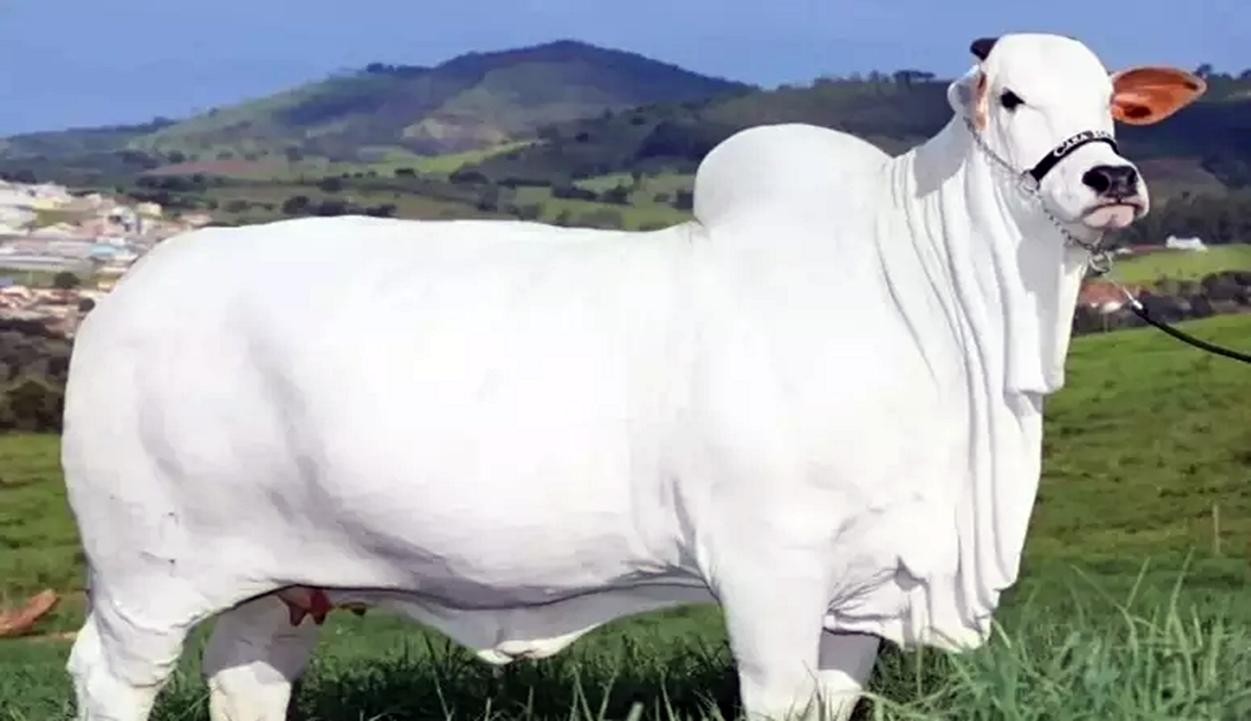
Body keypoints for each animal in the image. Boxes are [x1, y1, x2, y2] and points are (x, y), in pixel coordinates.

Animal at [61, 33, 1203, 721]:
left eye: (1113, 104)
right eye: (1010, 95)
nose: (1111, 178)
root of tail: (127, 291)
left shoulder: (860, 590)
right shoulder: (768, 569)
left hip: (280, 582)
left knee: (247, 678)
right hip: (145, 575)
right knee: (109, 678)